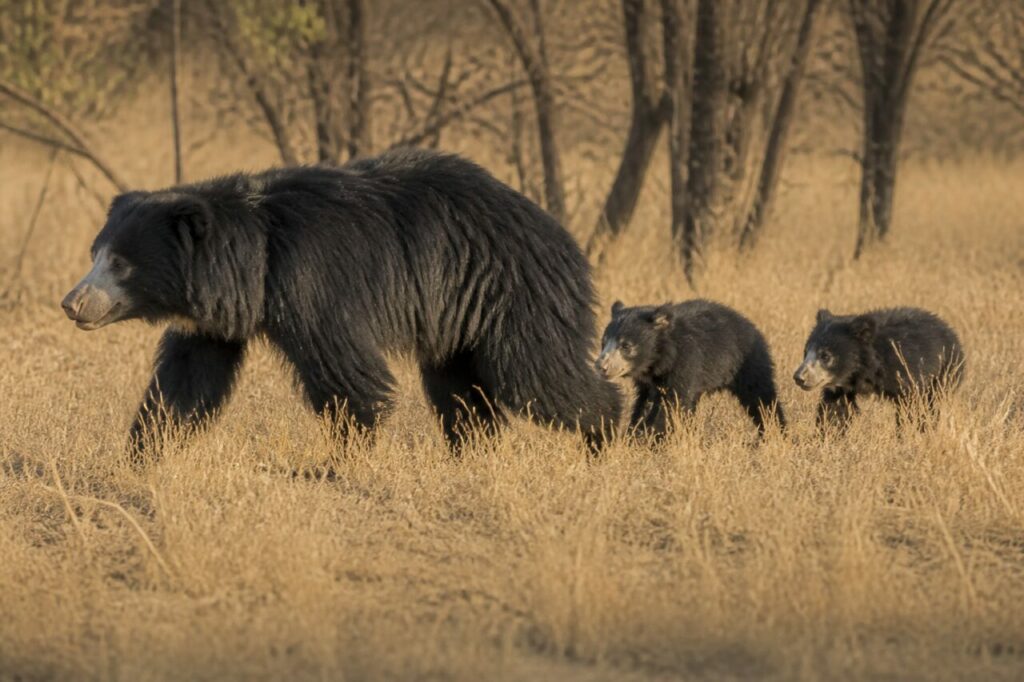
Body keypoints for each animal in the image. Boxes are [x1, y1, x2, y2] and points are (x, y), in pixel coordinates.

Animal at [60, 148, 621, 459]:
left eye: (121, 264)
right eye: (96, 254)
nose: (72, 303)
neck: (252, 263)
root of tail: (564, 239)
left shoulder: (312, 283)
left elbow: (349, 376)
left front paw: (345, 458)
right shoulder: (214, 322)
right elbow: (186, 383)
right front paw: (143, 453)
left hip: (513, 295)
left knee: (539, 377)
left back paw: (607, 433)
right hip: (459, 320)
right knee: (461, 393)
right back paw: (473, 453)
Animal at [594, 299, 785, 440]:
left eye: (625, 345)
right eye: (603, 343)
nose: (601, 366)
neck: (657, 361)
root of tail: (752, 327)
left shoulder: (686, 361)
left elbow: (674, 403)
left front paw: (648, 438)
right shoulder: (647, 383)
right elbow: (645, 404)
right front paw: (634, 434)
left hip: (747, 363)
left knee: (760, 397)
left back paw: (775, 432)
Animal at [793, 307, 965, 431]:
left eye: (825, 356)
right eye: (806, 352)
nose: (799, 377)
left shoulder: (905, 369)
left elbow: (913, 406)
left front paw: (910, 433)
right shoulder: (840, 389)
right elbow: (834, 411)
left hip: (946, 370)